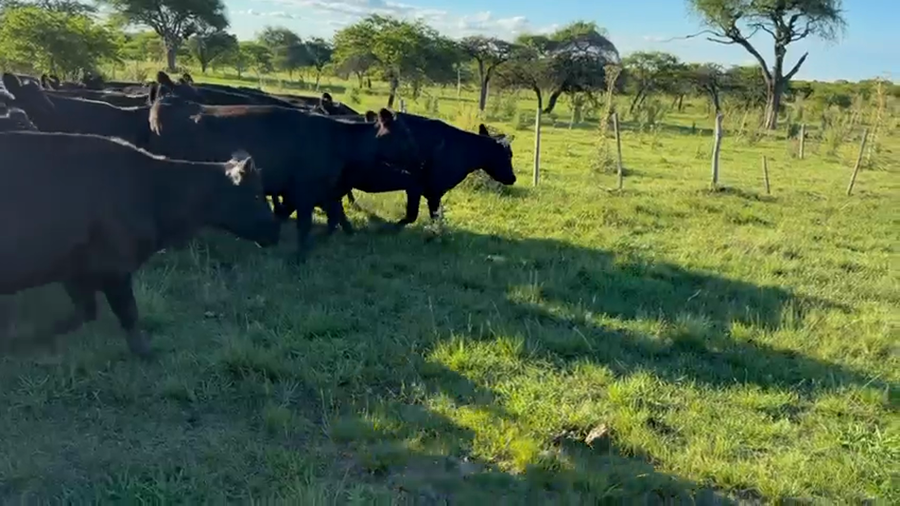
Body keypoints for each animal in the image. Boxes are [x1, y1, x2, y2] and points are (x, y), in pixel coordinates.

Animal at [0, 131, 279, 358]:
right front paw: (145, 351)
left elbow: (86, 312)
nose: (275, 231)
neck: (151, 189)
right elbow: (128, 314)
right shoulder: (114, 268)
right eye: (256, 195)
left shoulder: (76, 272)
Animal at [147, 96, 421, 261]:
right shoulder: (305, 189)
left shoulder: (317, 190)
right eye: (405, 134)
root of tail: (172, 102)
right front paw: (300, 255)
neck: (339, 140)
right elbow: (306, 223)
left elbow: (326, 217)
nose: (420, 159)